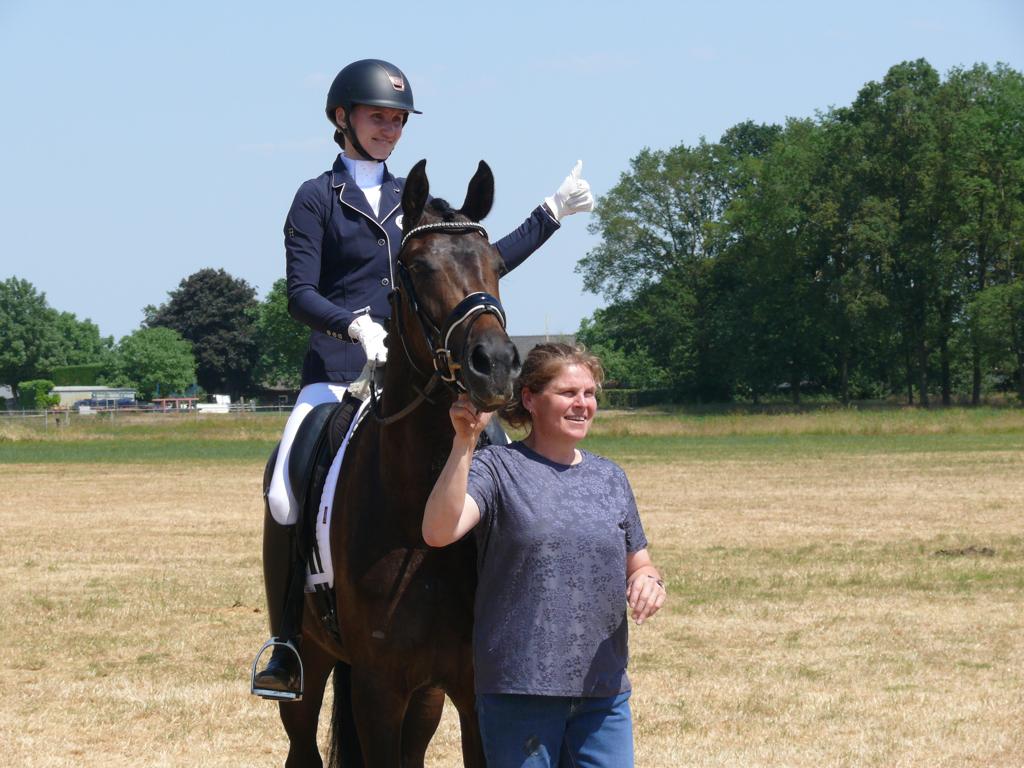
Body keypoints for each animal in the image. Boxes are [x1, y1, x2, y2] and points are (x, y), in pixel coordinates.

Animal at [272, 159, 520, 765]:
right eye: (419, 266)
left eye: (497, 264)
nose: (495, 364)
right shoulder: (377, 686)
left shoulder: (467, 685)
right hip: (308, 665)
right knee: (301, 742)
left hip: (425, 696)